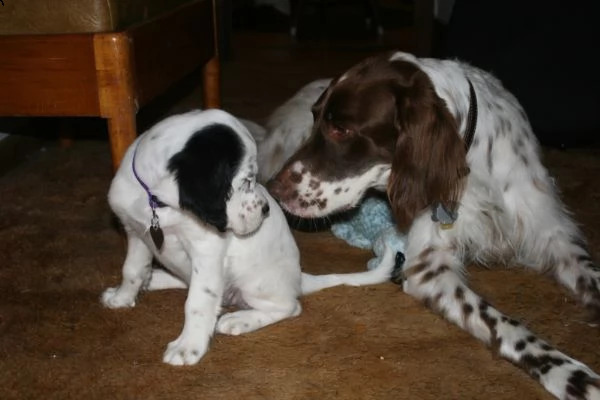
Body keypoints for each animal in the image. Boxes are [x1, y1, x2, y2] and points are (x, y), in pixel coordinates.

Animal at [102, 108, 394, 366]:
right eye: (244, 181)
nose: (266, 210)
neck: (157, 204)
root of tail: (299, 278)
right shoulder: (136, 233)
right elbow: (132, 270)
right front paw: (122, 298)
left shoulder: (206, 253)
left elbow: (198, 301)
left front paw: (188, 346)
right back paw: (155, 278)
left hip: (255, 284)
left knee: (289, 307)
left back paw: (239, 320)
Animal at [268, 51, 600, 398]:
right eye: (316, 118)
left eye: (341, 130)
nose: (274, 189)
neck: (471, 166)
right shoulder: (430, 267)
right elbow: (502, 323)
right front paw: (570, 375)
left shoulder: (551, 231)